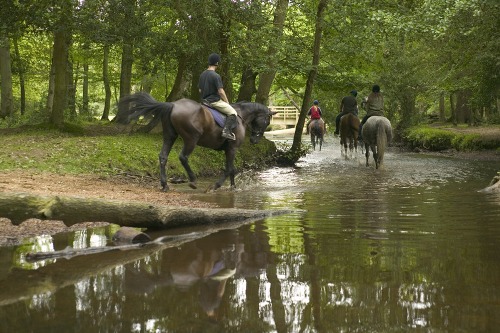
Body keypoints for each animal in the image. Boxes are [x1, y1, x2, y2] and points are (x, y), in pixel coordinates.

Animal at [115, 92, 276, 192]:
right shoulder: (232, 148)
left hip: (170, 136)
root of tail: (173, 105)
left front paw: (233, 187)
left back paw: (165, 185)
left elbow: (232, 169)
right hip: (191, 138)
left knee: (163, 157)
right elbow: (229, 169)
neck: (241, 116)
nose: (254, 140)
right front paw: (216, 186)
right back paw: (192, 180)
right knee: (183, 157)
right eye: (267, 122)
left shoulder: (229, 149)